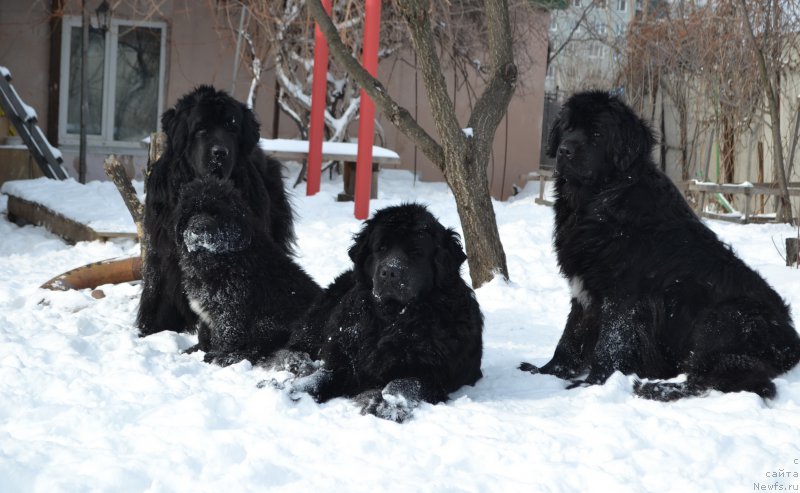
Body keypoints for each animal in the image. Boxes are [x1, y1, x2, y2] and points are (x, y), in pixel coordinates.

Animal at [175, 175, 322, 364]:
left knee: (258, 349)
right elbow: (205, 333)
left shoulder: (231, 310)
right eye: (191, 212)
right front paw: (195, 350)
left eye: (216, 213)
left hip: (269, 322)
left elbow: (226, 336)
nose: (198, 229)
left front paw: (216, 355)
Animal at [268, 202, 482, 420]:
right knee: (298, 346)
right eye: (381, 248)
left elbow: (402, 383)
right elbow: (320, 377)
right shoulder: (344, 361)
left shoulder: (431, 374)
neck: (392, 317)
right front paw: (290, 390)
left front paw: (384, 403)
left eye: (416, 252)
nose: (390, 271)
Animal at [520, 90, 800, 402]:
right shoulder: (585, 291)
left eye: (597, 133)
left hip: (722, 321)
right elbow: (570, 337)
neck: (598, 202)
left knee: (736, 380)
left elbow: (609, 345)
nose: (565, 150)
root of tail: (792, 342)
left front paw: (591, 384)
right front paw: (545, 373)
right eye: (568, 128)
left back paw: (654, 388)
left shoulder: (624, 296)